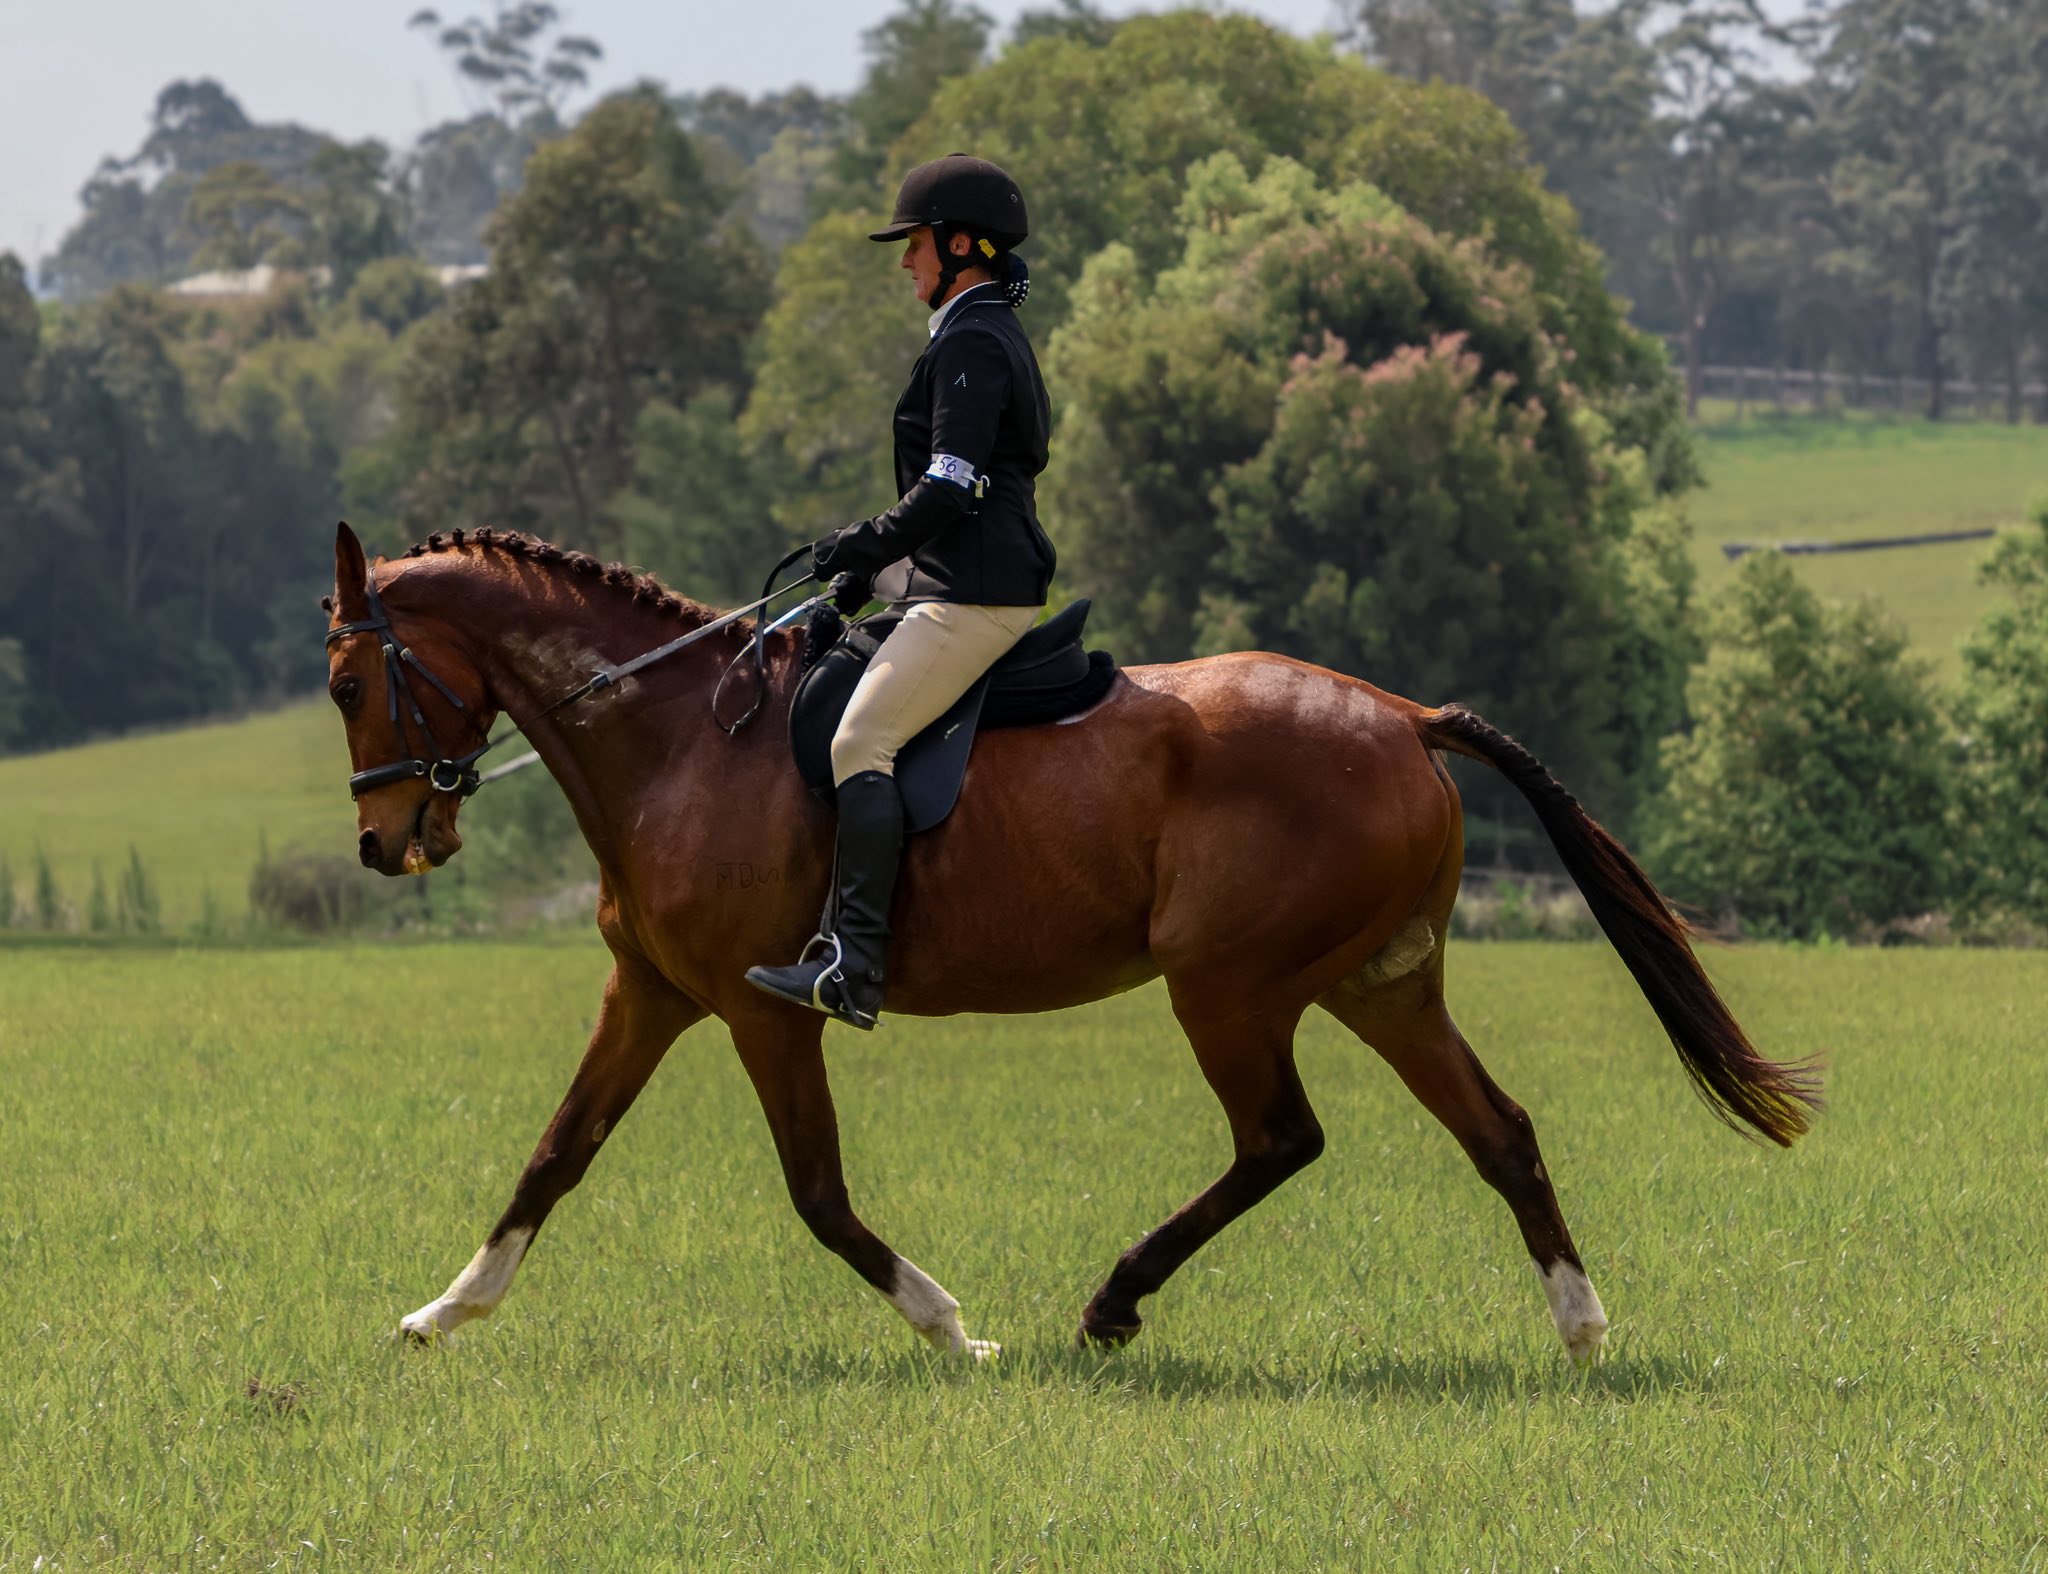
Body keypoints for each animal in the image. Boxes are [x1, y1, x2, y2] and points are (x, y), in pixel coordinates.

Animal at [323, 521, 1818, 1363]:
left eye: (345, 679)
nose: (387, 842)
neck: (681, 736)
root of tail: (1401, 715)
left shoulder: (765, 1010)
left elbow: (816, 1193)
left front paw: (951, 1326)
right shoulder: (649, 993)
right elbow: (556, 1152)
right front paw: (444, 1312)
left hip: (1231, 986)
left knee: (1280, 1138)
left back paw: (1110, 1303)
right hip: (1380, 981)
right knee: (1495, 1128)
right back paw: (1579, 1326)